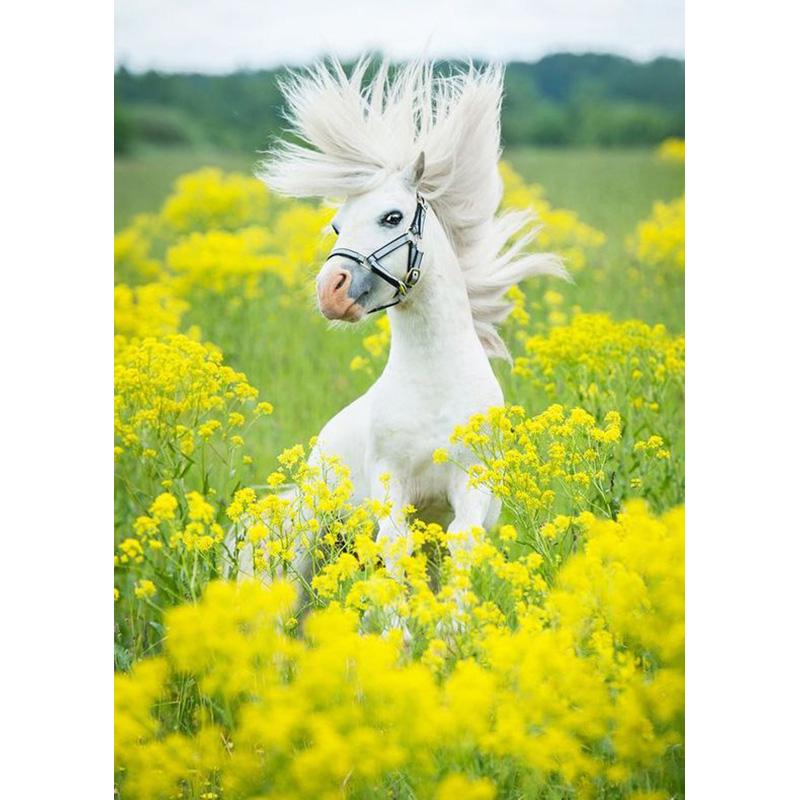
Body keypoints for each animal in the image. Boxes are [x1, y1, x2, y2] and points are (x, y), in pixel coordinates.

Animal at [259, 59, 566, 576]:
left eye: (392, 217)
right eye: (337, 226)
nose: (329, 292)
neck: (435, 385)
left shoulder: (469, 485)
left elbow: (463, 545)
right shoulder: (392, 484)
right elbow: (395, 549)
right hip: (313, 541)